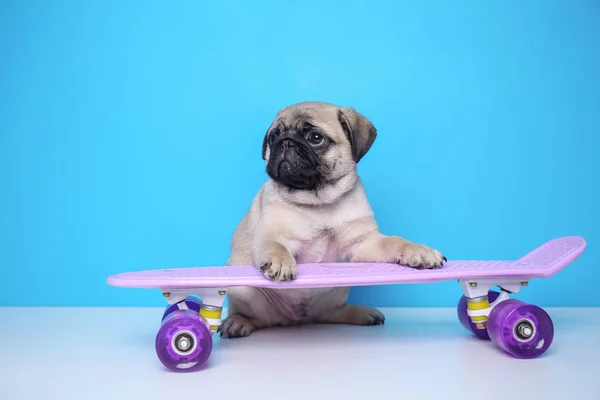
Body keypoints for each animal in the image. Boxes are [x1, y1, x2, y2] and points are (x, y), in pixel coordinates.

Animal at [218, 101, 442, 338]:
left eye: (316, 138)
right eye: (273, 137)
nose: (285, 141)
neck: (318, 202)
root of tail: (294, 319)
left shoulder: (364, 243)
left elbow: (396, 241)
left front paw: (419, 251)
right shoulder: (270, 234)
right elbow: (276, 247)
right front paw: (281, 261)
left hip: (337, 290)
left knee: (324, 314)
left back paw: (360, 313)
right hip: (241, 290)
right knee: (257, 318)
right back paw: (238, 321)